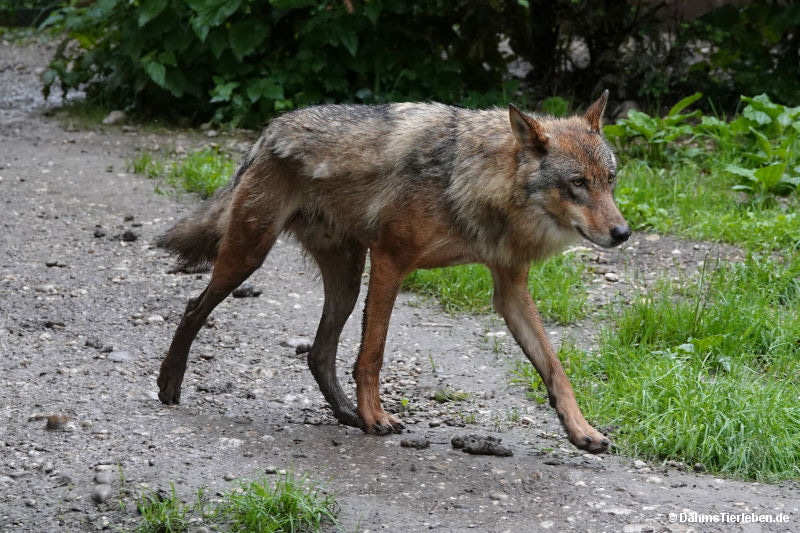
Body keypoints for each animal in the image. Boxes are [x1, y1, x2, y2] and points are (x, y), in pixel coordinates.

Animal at [156, 90, 629, 453]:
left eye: (609, 180)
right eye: (577, 184)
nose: (623, 233)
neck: (475, 178)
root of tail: (271, 129)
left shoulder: (510, 288)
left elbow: (555, 367)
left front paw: (582, 431)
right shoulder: (390, 260)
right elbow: (373, 354)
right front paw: (376, 417)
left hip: (346, 282)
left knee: (318, 352)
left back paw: (345, 414)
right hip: (249, 257)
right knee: (194, 307)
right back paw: (169, 385)